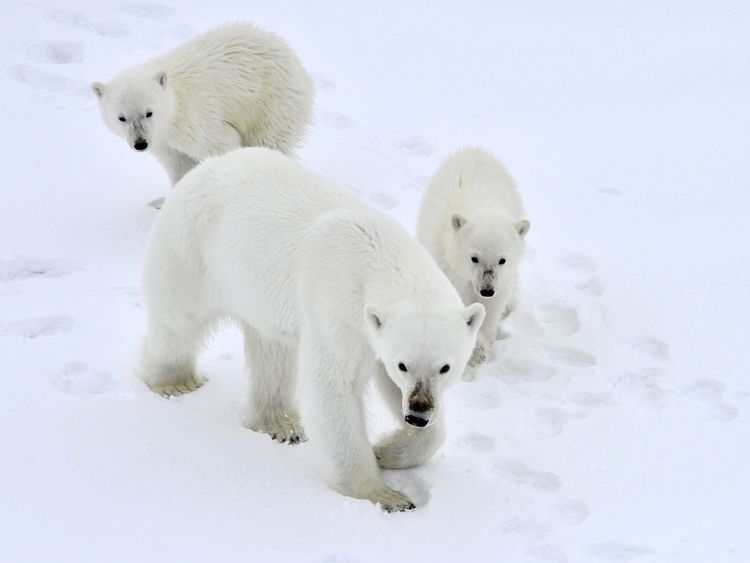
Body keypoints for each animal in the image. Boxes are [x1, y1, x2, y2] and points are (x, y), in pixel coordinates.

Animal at [92, 25, 314, 204]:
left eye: (149, 113)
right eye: (121, 117)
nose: (140, 143)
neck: (174, 106)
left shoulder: (195, 118)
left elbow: (221, 144)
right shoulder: (163, 140)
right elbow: (178, 163)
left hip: (271, 102)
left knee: (267, 142)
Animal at [140, 148, 488, 512]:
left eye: (445, 367)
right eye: (403, 364)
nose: (417, 414)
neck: (380, 255)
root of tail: (205, 167)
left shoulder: (376, 334)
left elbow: (399, 397)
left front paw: (386, 451)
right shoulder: (340, 309)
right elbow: (333, 386)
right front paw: (386, 496)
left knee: (272, 352)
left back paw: (281, 423)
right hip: (193, 249)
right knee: (178, 320)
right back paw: (174, 382)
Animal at [418, 145, 528, 368]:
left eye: (502, 260)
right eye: (474, 258)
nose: (486, 290)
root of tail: (474, 150)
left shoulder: (502, 279)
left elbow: (493, 306)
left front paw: (483, 345)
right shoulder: (448, 266)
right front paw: (475, 351)